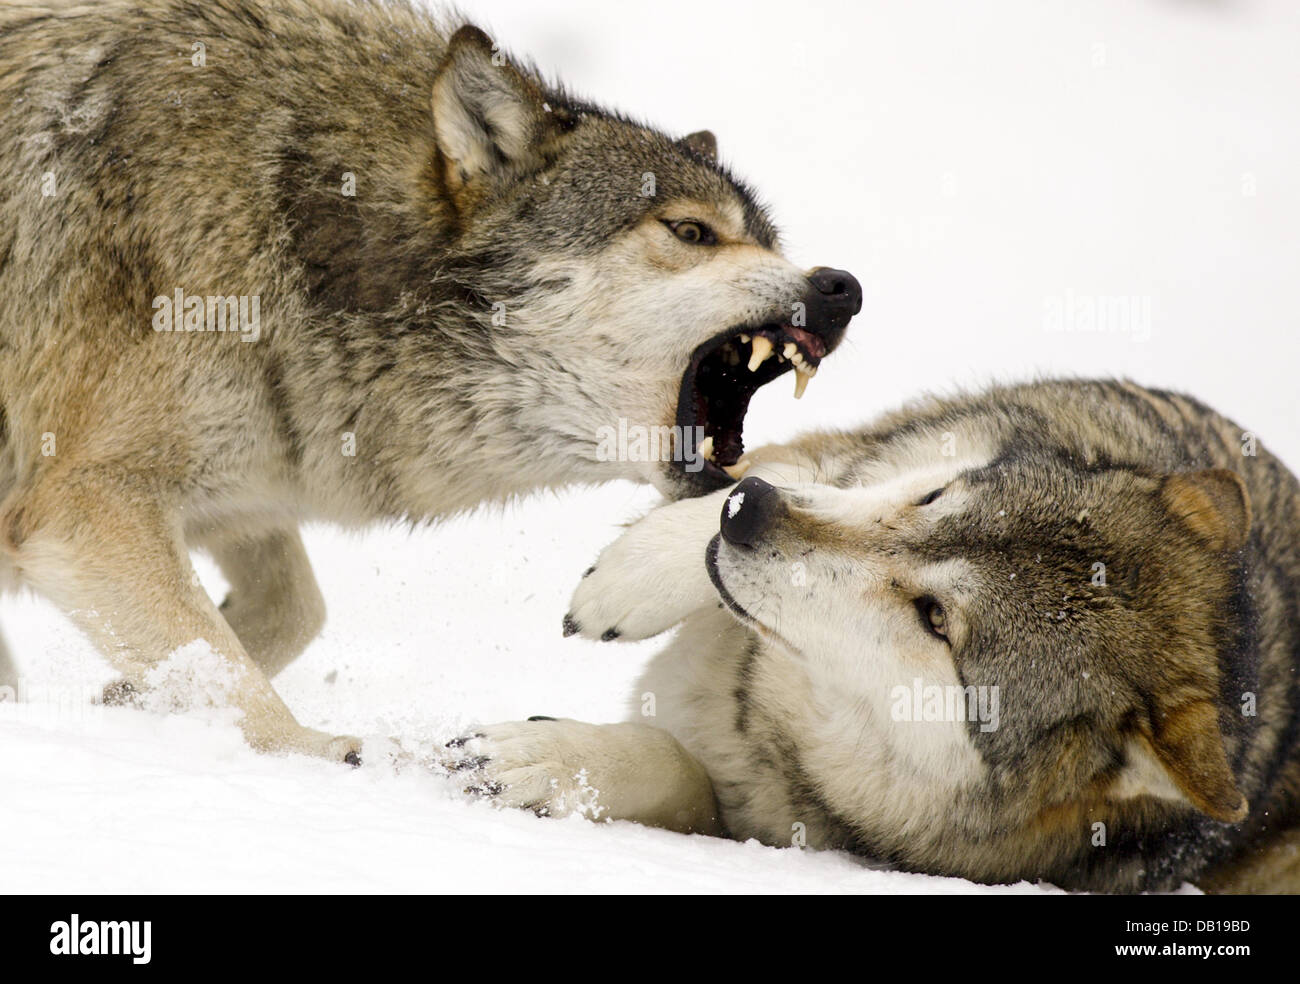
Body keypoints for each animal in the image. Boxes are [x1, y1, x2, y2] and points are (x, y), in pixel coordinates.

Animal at [0, 0, 861, 760]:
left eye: (769, 242)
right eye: (690, 232)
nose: (840, 287)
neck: (298, 227)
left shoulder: (242, 483)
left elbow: (288, 614)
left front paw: (132, 703)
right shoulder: (89, 502)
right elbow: (221, 657)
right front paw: (308, 755)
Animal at [457, 379, 1300, 893]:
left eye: (937, 621)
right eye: (935, 496)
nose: (747, 514)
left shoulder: (772, 827)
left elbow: (678, 768)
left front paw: (535, 758)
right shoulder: (865, 453)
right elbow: (812, 472)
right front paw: (634, 576)